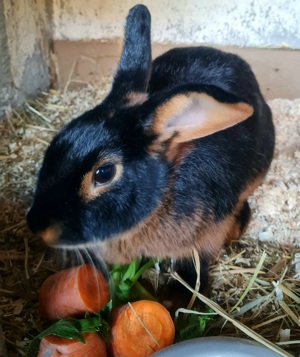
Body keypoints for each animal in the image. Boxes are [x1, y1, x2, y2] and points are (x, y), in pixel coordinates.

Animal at [27, 4, 276, 290]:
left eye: (104, 173)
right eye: (58, 138)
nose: (36, 225)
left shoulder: (206, 237)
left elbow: (194, 267)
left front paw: (179, 295)